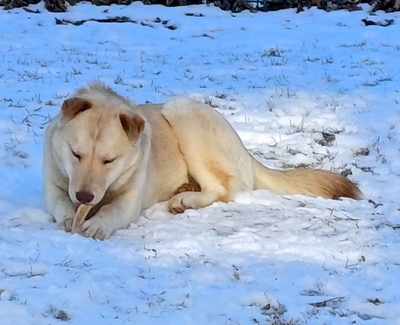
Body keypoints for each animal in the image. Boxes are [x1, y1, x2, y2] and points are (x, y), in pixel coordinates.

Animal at [42, 81, 360, 238]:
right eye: (75, 153)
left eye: (109, 160)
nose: (84, 196)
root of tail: (245, 150)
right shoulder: (55, 188)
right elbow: (60, 204)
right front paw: (69, 216)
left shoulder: (129, 200)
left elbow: (113, 210)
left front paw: (98, 224)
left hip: (181, 114)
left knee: (224, 190)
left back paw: (186, 199)